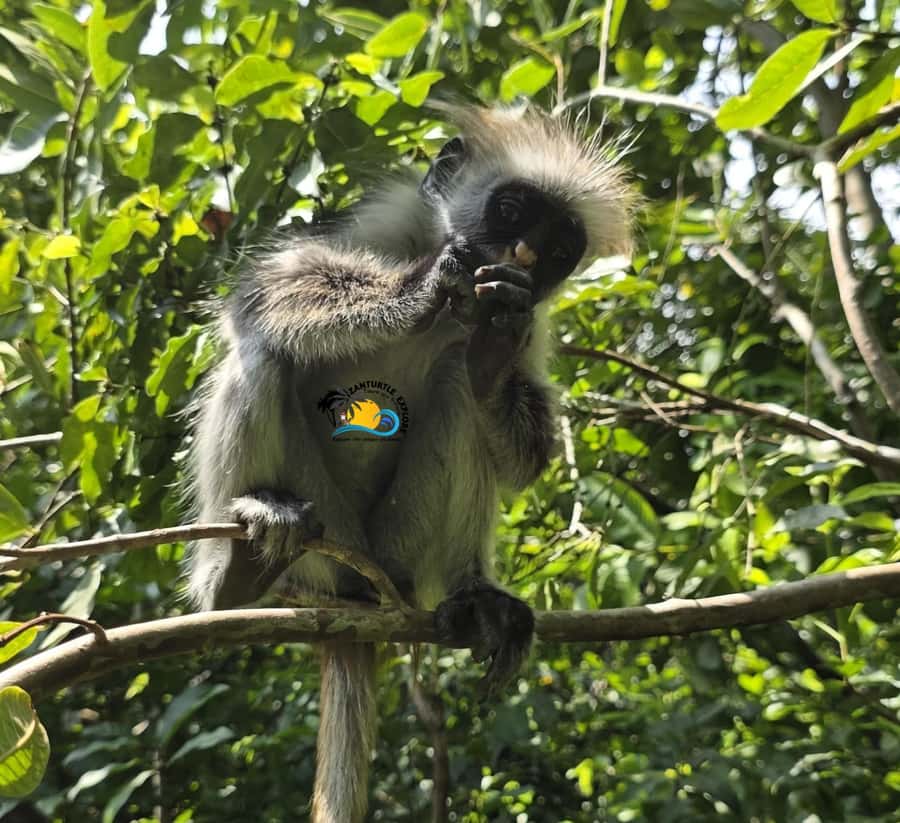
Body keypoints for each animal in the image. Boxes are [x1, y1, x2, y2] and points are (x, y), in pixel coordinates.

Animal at [184, 105, 633, 823]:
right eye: (511, 211)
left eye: (560, 248)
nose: (525, 255)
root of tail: (361, 594)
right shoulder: (392, 222)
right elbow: (264, 293)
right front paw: (419, 290)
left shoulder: (533, 318)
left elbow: (525, 454)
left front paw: (492, 344)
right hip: (325, 538)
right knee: (263, 350)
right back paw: (235, 575)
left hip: (398, 543)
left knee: (456, 384)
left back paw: (474, 596)